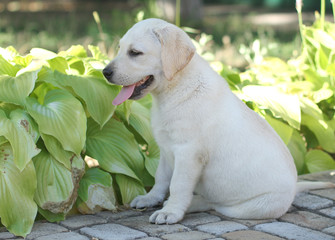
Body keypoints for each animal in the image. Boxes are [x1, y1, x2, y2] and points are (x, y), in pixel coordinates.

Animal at [103, 17, 335, 224]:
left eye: (135, 53)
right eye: (120, 48)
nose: (105, 72)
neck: (175, 89)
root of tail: (295, 187)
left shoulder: (188, 153)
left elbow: (177, 185)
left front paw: (170, 212)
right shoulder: (166, 149)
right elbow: (160, 178)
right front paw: (151, 198)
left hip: (251, 206)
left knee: (216, 204)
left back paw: (192, 204)